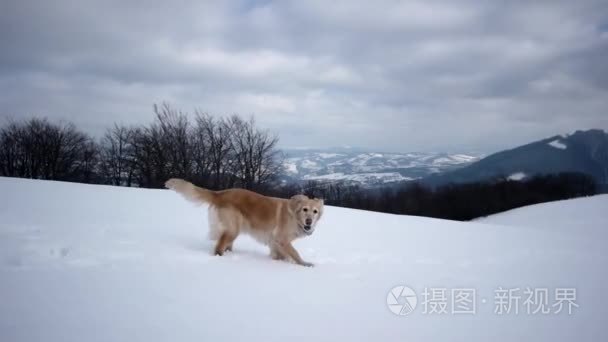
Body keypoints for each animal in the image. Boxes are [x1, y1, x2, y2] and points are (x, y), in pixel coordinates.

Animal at [164, 179, 320, 268]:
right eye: (305, 210)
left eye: (315, 211)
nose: (309, 221)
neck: (294, 215)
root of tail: (219, 193)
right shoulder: (281, 239)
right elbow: (294, 253)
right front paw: (304, 264)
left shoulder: (274, 241)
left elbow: (280, 254)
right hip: (232, 228)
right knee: (218, 248)